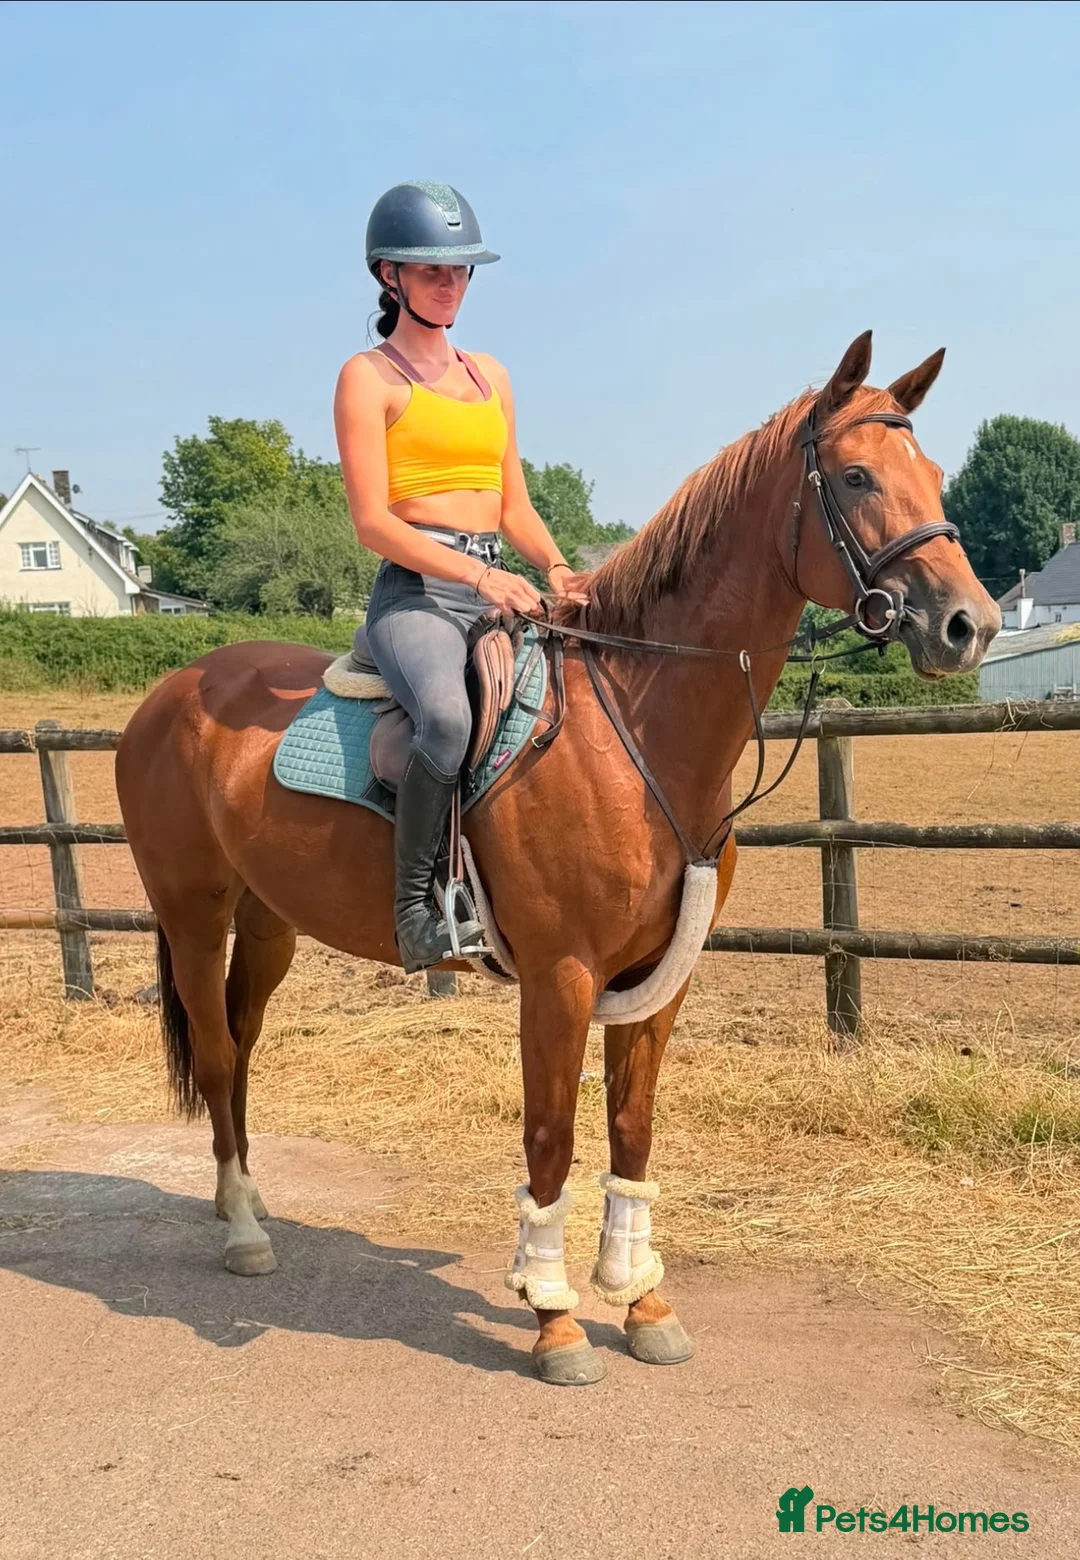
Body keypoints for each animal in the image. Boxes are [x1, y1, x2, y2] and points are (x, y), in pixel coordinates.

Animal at [115, 331, 999, 1386]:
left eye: (933, 474)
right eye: (859, 476)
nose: (971, 624)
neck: (637, 724)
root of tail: (174, 690)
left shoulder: (657, 978)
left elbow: (632, 1129)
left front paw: (643, 1300)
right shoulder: (560, 977)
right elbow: (551, 1136)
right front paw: (553, 1315)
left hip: (269, 923)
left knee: (242, 1047)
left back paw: (236, 1195)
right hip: (193, 913)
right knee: (215, 1053)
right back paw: (245, 1234)